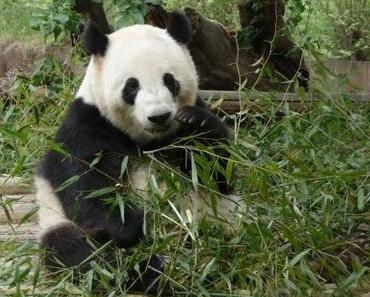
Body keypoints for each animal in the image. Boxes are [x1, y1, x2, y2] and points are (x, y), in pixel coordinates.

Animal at [35, 11, 240, 294]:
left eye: (169, 80)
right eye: (132, 86)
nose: (159, 116)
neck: (147, 139)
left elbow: (218, 174)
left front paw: (197, 122)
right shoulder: (87, 125)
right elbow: (85, 184)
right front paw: (131, 226)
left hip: (220, 219)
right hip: (56, 221)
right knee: (89, 256)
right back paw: (160, 271)